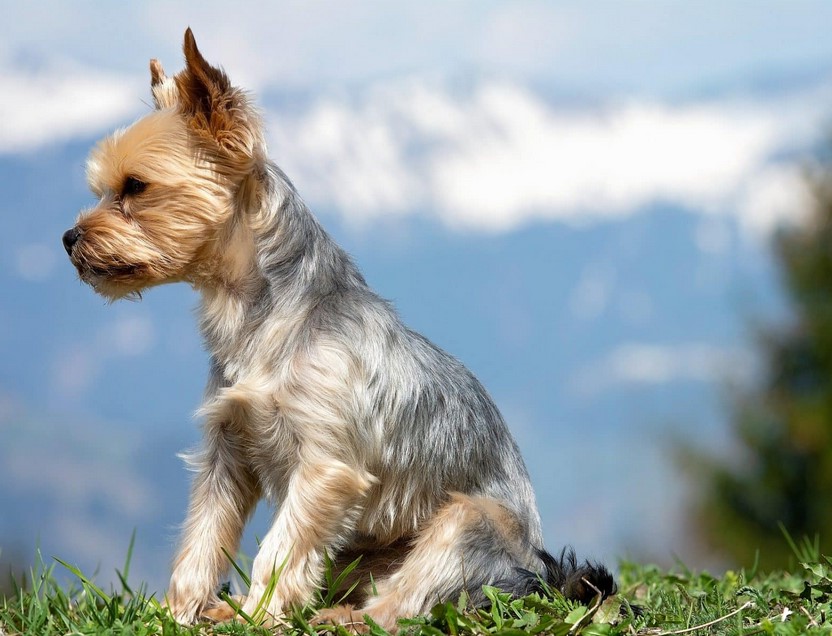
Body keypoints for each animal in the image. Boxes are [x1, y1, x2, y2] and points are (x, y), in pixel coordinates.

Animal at [63, 28, 612, 628]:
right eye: (102, 188)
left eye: (135, 187)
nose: (68, 238)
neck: (260, 313)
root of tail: (538, 575)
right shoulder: (227, 449)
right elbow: (203, 537)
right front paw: (180, 612)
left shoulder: (325, 466)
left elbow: (279, 550)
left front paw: (259, 618)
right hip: (356, 549)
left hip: (466, 522)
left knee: (401, 604)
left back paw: (338, 618)